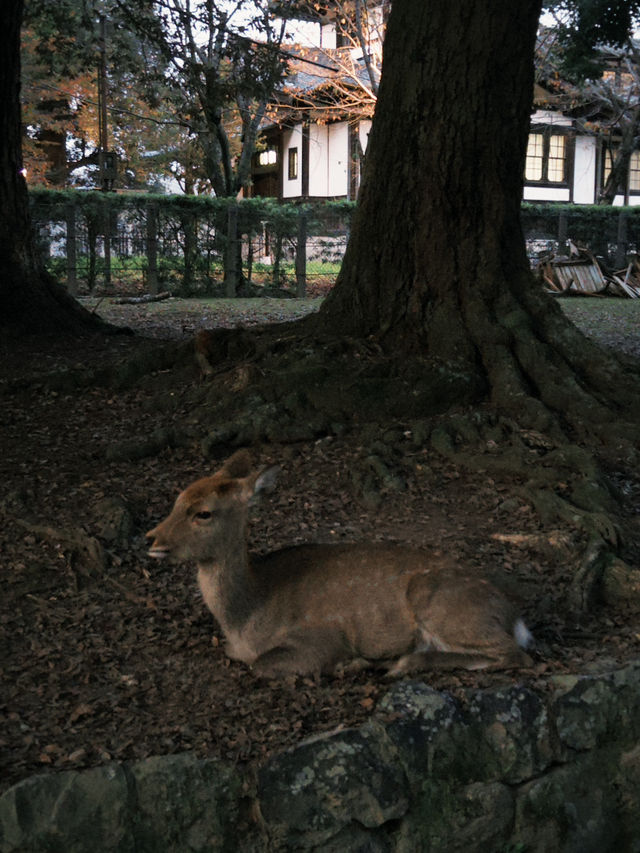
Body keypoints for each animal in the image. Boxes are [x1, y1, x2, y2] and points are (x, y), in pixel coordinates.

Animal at [146, 451, 533, 679]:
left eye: (203, 513)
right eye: (178, 498)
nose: (152, 539)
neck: (246, 620)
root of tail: (514, 616)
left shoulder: (320, 637)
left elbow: (262, 666)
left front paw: (349, 662)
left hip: (442, 606)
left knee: (513, 653)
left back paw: (395, 663)